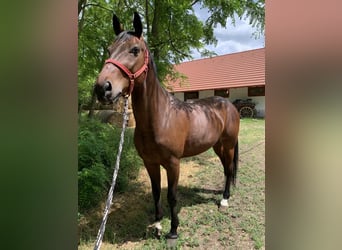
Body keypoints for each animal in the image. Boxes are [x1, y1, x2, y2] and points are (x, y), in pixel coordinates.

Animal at [94, 12, 240, 239]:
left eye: (134, 50)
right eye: (109, 50)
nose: (102, 88)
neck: (160, 118)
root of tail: (228, 104)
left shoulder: (173, 163)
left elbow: (172, 195)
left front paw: (173, 230)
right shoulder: (150, 163)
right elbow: (156, 193)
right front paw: (157, 224)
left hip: (229, 144)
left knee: (229, 167)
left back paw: (224, 199)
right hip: (217, 145)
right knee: (226, 167)